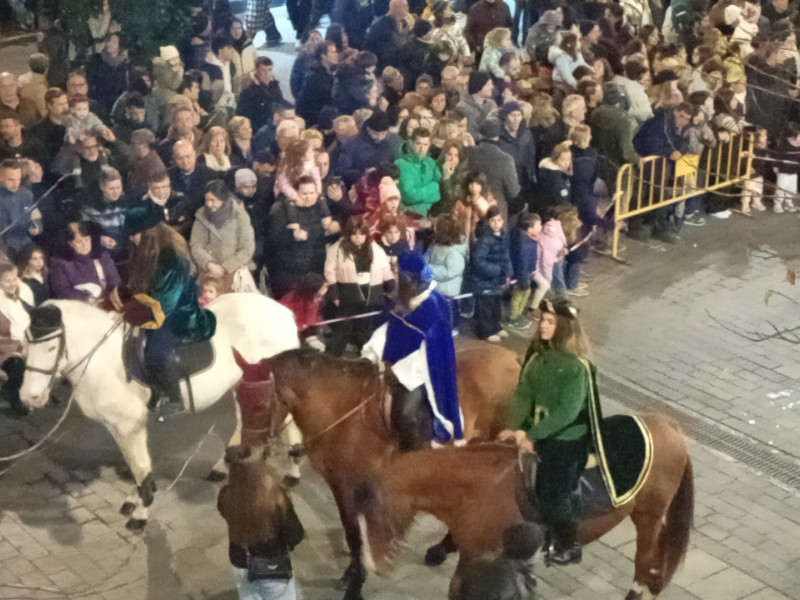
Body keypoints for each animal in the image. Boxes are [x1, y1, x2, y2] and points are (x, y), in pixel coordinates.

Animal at [19, 294, 300, 528]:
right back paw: (229, 463)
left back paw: (293, 470)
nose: (29, 397)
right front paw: (135, 499)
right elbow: (135, 465)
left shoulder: (128, 425)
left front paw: (141, 512)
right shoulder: (121, 427)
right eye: (26, 343)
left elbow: (140, 468)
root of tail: (283, 312)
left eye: (51, 348)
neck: (105, 361)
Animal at [266, 346, 692, 600]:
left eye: (257, 398)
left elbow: (357, 537)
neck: (345, 411)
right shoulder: (343, 488)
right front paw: (354, 573)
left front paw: (355, 582)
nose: (264, 446)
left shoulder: (356, 488)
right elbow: (354, 536)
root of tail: (513, 357)